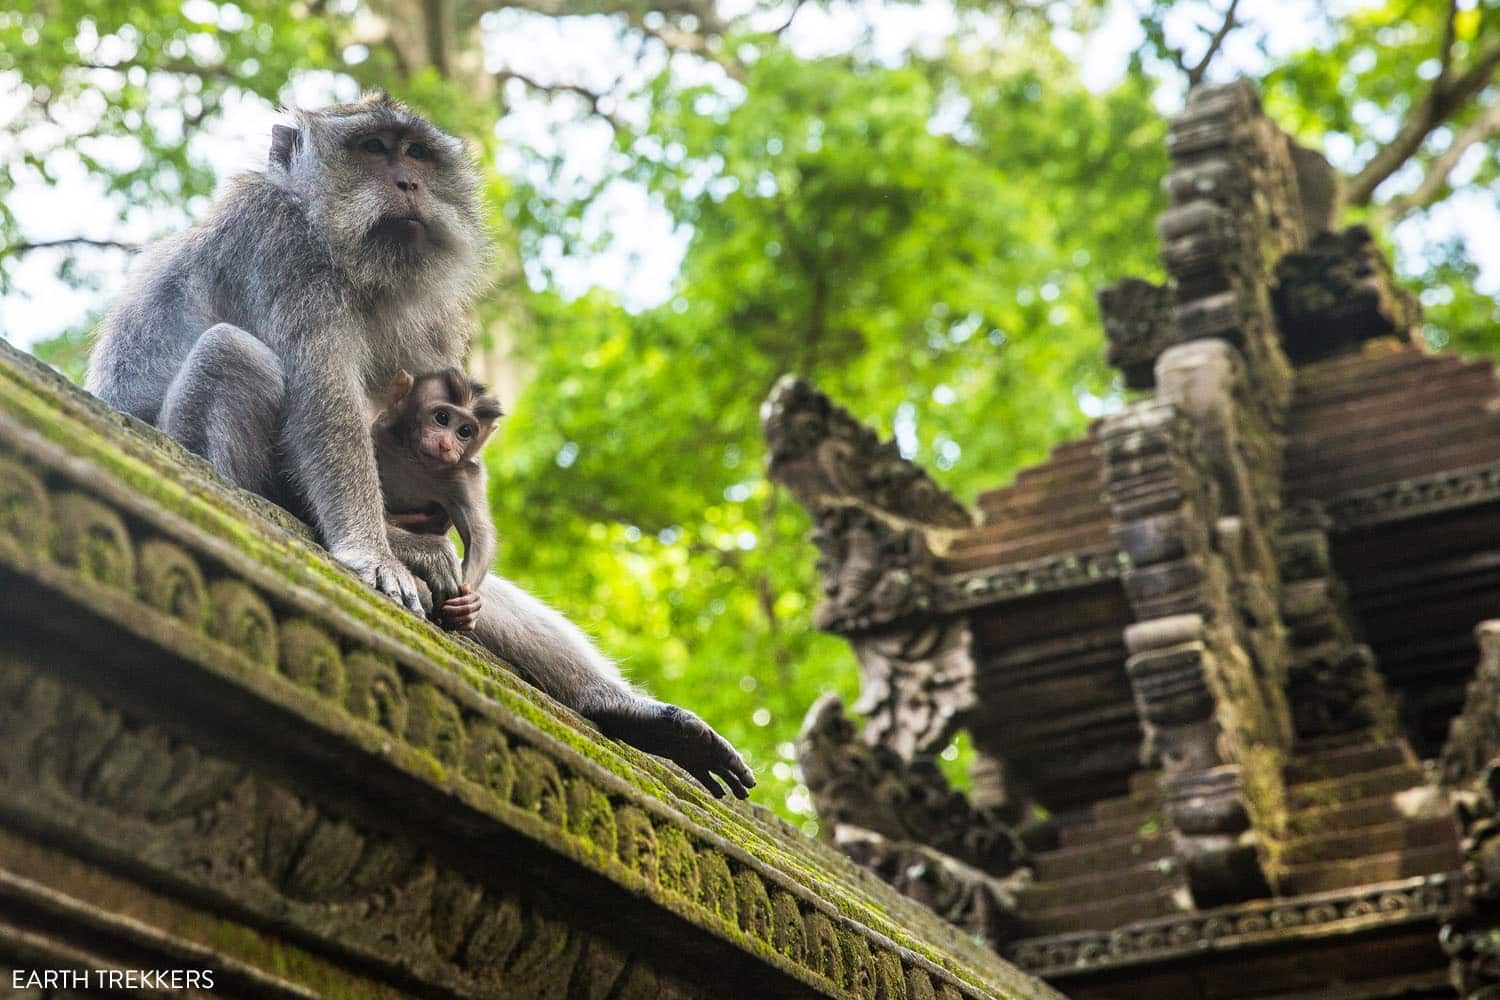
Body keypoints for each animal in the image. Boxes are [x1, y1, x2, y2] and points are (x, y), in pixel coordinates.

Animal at [372, 371, 501, 629]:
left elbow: (480, 533)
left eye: (464, 431)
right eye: (442, 418)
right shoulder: (381, 434)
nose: (446, 444)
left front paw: (467, 605)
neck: (414, 459)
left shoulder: (463, 474)